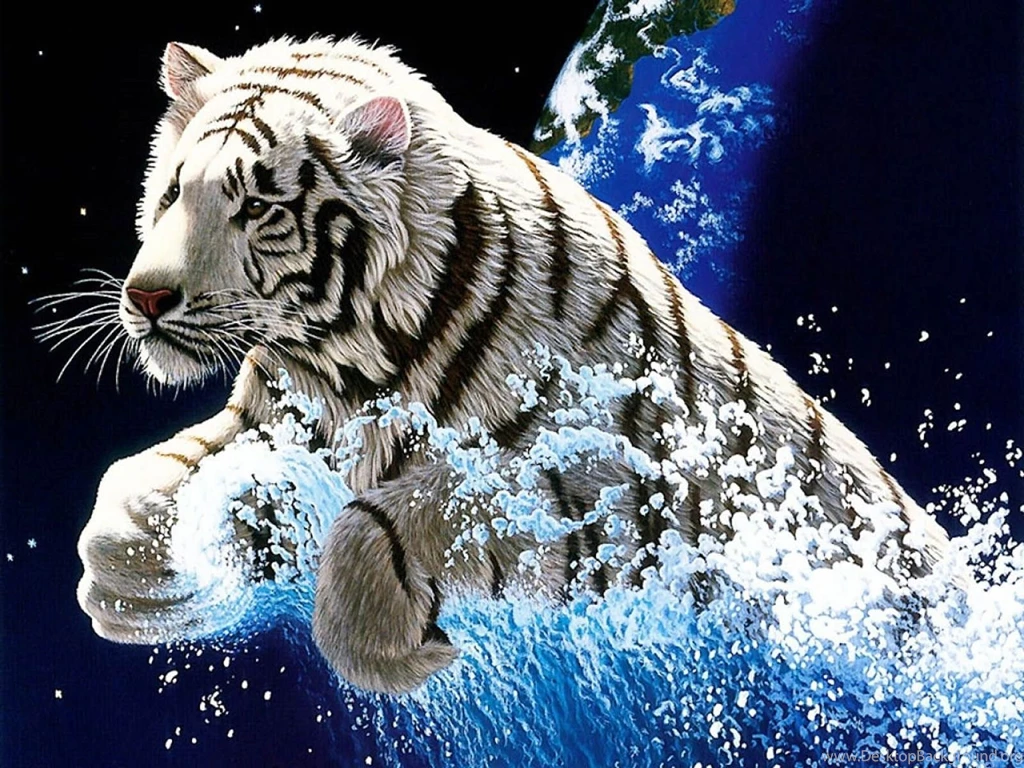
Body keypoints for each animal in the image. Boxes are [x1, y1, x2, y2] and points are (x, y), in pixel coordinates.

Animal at [74, 36, 953, 695]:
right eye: (173, 193)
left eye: (257, 208)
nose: (146, 298)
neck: (345, 361)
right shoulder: (275, 420)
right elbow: (143, 476)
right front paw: (130, 578)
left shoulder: (610, 495)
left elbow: (395, 517)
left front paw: (398, 651)